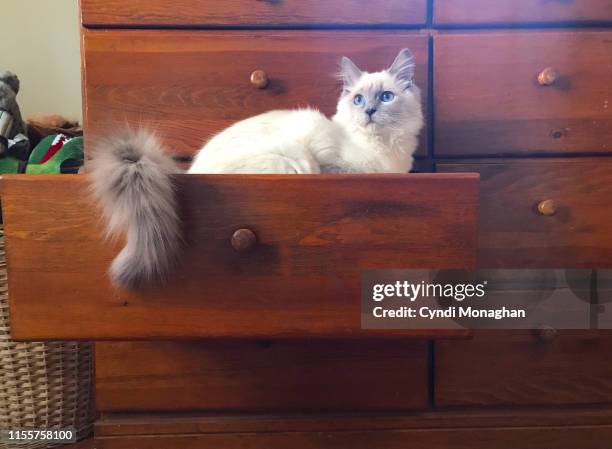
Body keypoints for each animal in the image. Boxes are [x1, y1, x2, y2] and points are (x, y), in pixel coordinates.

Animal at [91, 48, 424, 288]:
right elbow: (339, 170)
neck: (384, 151)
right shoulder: (324, 157)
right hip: (289, 161)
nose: (369, 111)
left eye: (386, 97)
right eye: (358, 99)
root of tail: (188, 174)